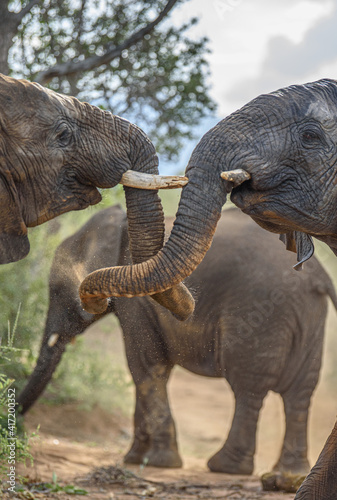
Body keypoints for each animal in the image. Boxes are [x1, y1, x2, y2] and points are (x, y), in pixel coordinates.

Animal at [18, 204, 336, 476]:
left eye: (57, 289)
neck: (118, 224)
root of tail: (319, 277)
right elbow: (145, 370)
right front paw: (135, 458)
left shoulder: (138, 300)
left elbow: (145, 366)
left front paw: (159, 462)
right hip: (309, 318)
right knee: (300, 393)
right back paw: (287, 475)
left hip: (262, 312)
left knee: (248, 387)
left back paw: (225, 467)